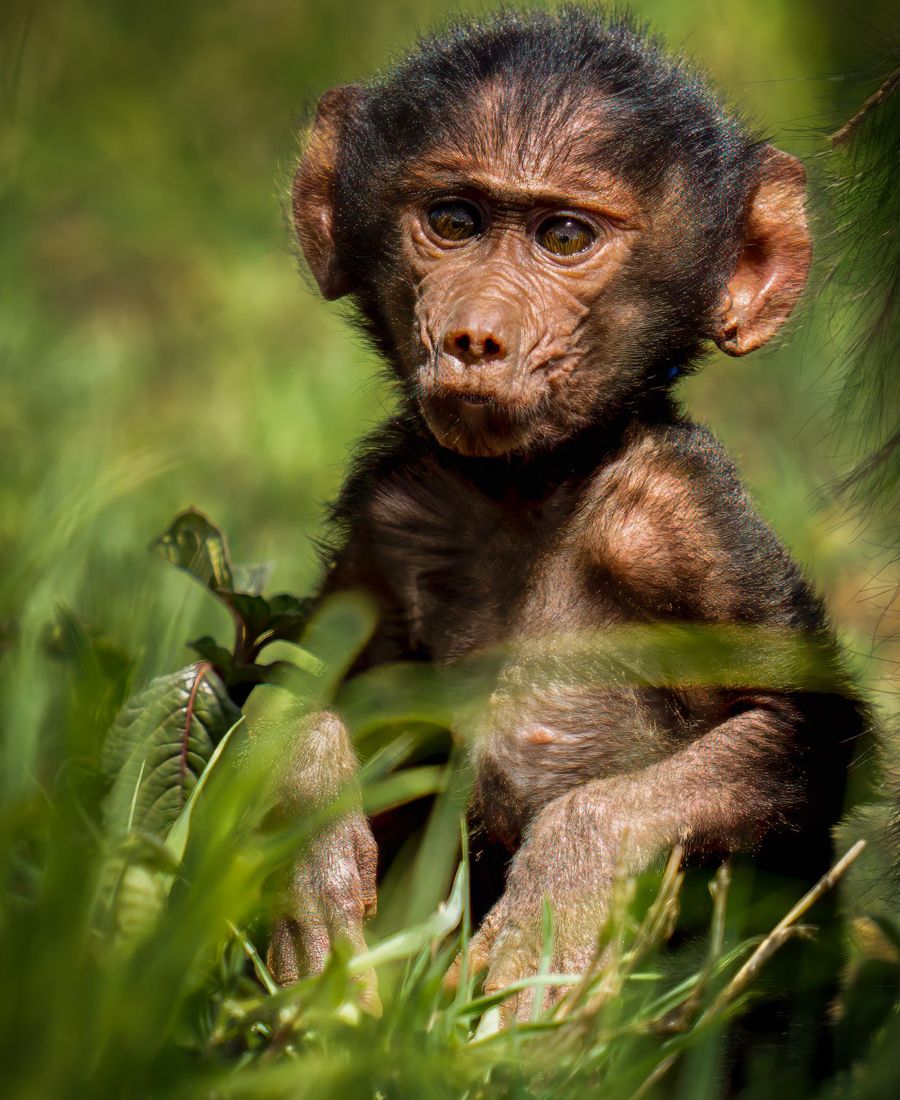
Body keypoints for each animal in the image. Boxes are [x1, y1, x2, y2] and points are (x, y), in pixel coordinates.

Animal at [265, 7, 868, 1047]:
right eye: (455, 222)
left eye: (565, 236)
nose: (476, 335)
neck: (528, 489)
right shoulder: (392, 508)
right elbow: (303, 690)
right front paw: (313, 845)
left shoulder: (680, 512)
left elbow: (792, 721)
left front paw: (561, 902)